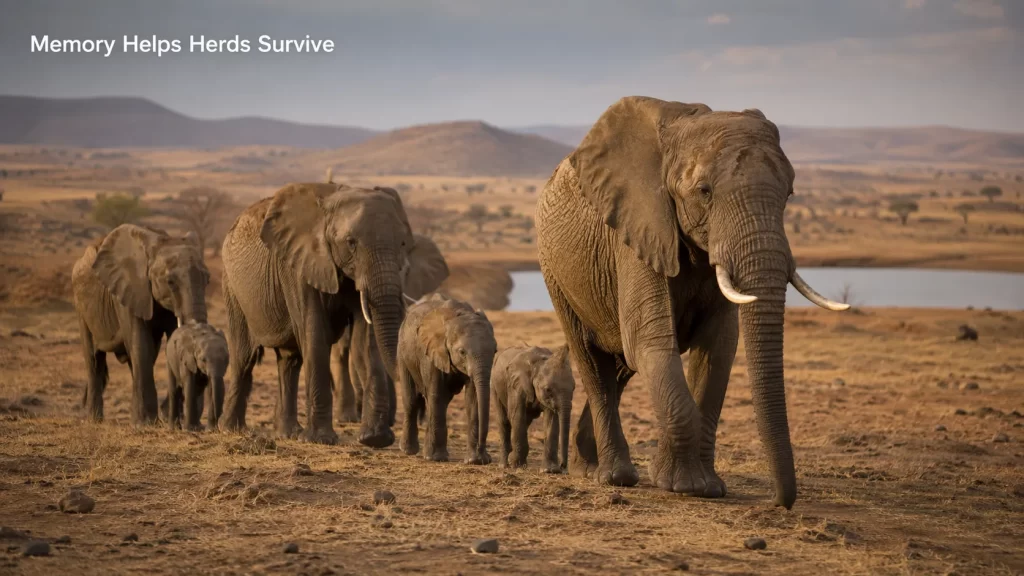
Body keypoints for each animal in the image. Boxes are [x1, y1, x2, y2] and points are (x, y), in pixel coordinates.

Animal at [71, 224, 209, 425]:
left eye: (207, 280)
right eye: (170, 282)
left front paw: (166, 417)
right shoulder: (128, 291)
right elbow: (141, 345)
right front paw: (146, 423)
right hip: (81, 307)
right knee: (94, 360)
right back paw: (95, 420)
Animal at [220, 181, 414, 446]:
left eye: (403, 244)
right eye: (351, 243)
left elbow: (365, 341)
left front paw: (374, 439)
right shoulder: (297, 265)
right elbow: (315, 334)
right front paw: (321, 440)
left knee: (289, 361)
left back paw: (288, 433)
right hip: (232, 286)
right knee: (244, 356)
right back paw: (231, 430)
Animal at [396, 294, 495, 464]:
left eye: (495, 351)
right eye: (462, 352)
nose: (484, 454)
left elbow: (473, 399)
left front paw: (474, 461)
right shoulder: (430, 353)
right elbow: (436, 395)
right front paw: (437, 458)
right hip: (403, 354)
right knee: (412, 400)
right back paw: (410, 451)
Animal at [491, 344, 575, 473]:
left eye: (574, 388)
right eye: (548, 389)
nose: (563, 467)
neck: (539, 363)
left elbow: (551, 420)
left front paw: (549, 470)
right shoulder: (516, 385)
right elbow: (517, 415)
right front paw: (517, 466)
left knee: (526, 421)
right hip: (495, 386)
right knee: (504, 420)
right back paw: (504, 465)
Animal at [535, 96, 849, 509]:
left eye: (790, 193)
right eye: (704, 191)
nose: (777, 501)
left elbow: (718, 349)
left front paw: (707, 486)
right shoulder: (637, 230)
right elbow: (650, 344)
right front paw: (682, 485)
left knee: (619, 367)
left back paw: (586, 467)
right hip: (555, 272)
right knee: (593, 360)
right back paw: (614, 476)